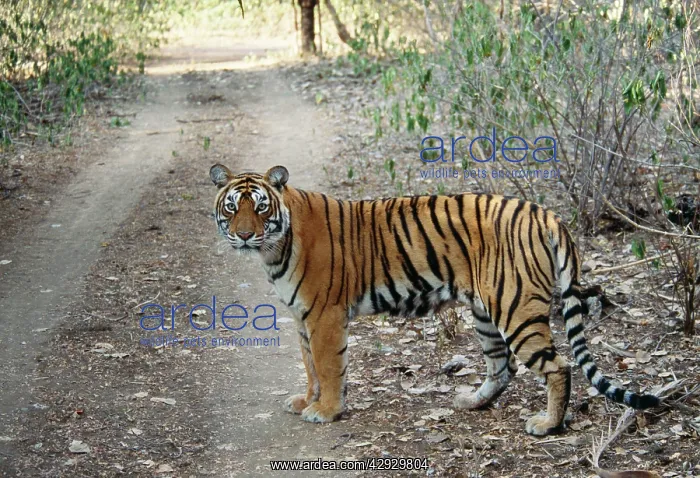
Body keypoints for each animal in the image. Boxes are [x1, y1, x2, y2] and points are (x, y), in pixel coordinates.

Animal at [209, 163, 659, 436]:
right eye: (232, 208)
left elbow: (329, 366)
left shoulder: (325, 316)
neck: (274, 249)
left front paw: (327, 411)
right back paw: (471, 401)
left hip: (515, 308)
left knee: (557, 365)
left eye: (260, 208)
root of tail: (546, 213)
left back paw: (547, 424)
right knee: (502, 366)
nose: (245, 235)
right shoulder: (303, 317)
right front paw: (307, 400)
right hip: (485, 310)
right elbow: (310, 368)